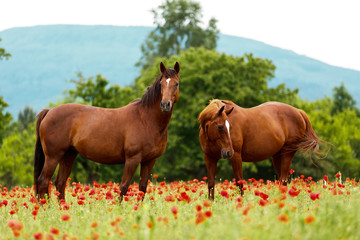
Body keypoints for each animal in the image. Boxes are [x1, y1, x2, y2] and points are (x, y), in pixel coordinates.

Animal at [34, 61, 180, 201]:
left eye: (176, 83)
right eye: (161, 84)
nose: (165, 105)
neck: (145, 119)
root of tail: (49, 112)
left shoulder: (149, 161)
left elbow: (142, 188)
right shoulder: (132, 159)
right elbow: (124, 187)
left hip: (68, 155)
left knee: (60, 183)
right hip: (53, 156)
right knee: (43, 181)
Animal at [198, 98, 328, 200]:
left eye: (229, 126)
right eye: (220, 127)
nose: (228, 152)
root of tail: (298, 111)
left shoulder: (236, 156)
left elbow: (239, 182)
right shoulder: (209, 158)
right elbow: (211, 182)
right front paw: (210, 202)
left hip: (287, 153)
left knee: (284, 179)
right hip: (277, 156)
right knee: (282, 180)